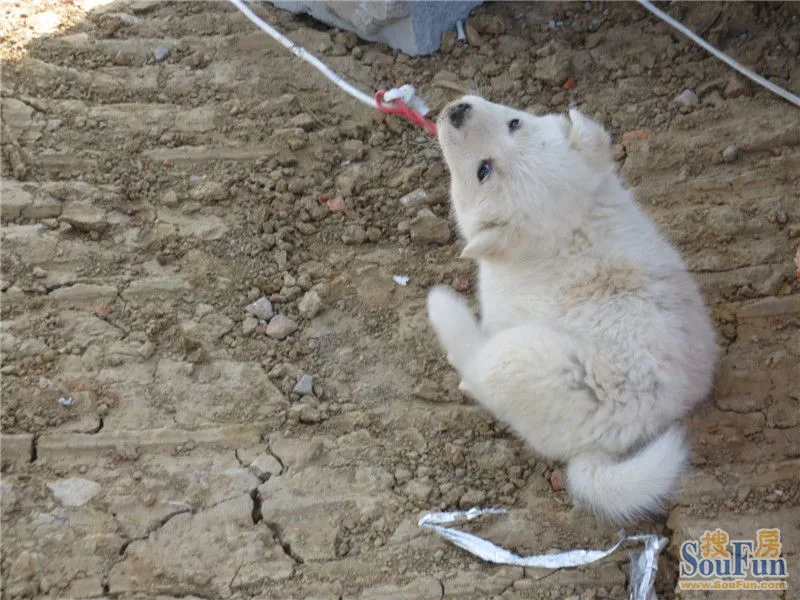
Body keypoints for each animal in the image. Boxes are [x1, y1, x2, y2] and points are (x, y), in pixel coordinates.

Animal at [428, 96, 716, 524]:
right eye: (515, 122)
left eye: (483, 170)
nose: (458, 109)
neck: (569, 229)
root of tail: (612, 445)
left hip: (515, 357)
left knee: (477, 367)